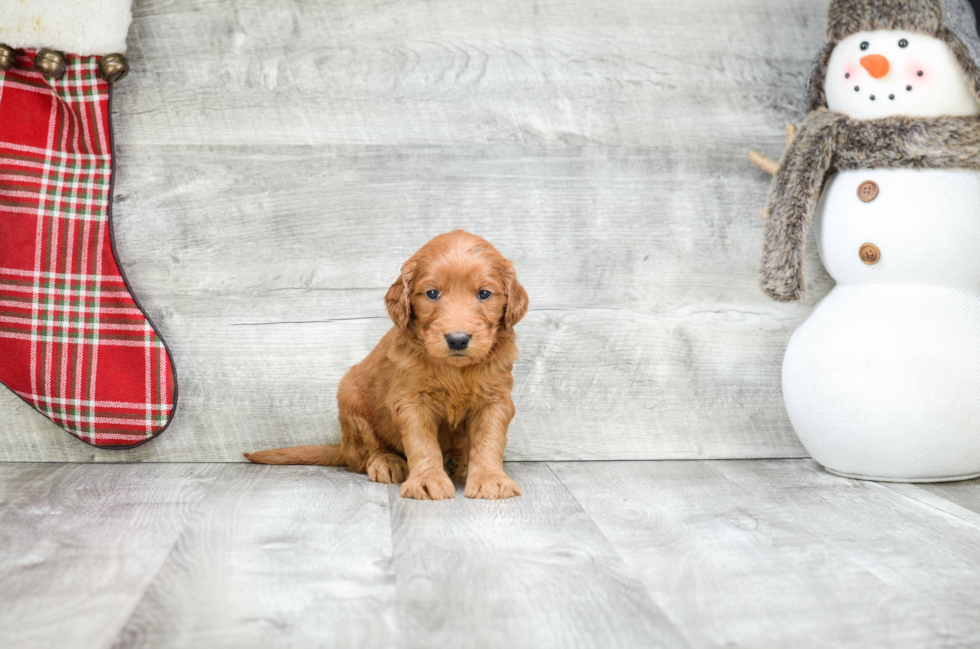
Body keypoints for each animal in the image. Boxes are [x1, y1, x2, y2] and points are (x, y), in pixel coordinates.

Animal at [249, 230, 532, 498]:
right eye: (432, 293)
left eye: (484, 294)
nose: (457, 339)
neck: (454, 370)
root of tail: (343, 446)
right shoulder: (412, 401)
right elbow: (422, 443)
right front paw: (428, 481)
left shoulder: (495, 400)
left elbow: (489, 441)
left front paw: (490, 480)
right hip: (351, 400)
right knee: (367, 452)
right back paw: (387, 462)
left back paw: (457, 461)